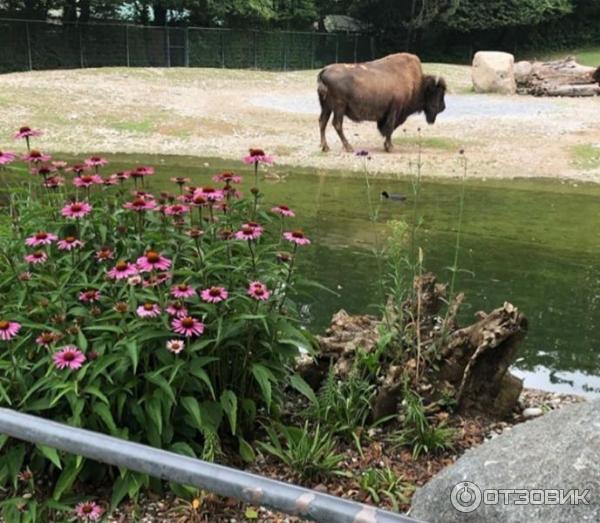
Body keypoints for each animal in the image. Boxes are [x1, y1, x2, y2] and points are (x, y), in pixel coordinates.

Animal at [316, 52, 448, 152]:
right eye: (437, 93)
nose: (443, 107)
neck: (417, 84)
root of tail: (324, 70)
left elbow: (389, 128)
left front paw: (388, 146)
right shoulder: (395, 109)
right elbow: (390, 127)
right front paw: (389, 147)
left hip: (326, 107)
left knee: (323, 122)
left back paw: (325, 147)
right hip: (339, 107)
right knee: (337, 124)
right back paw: (348, 147)